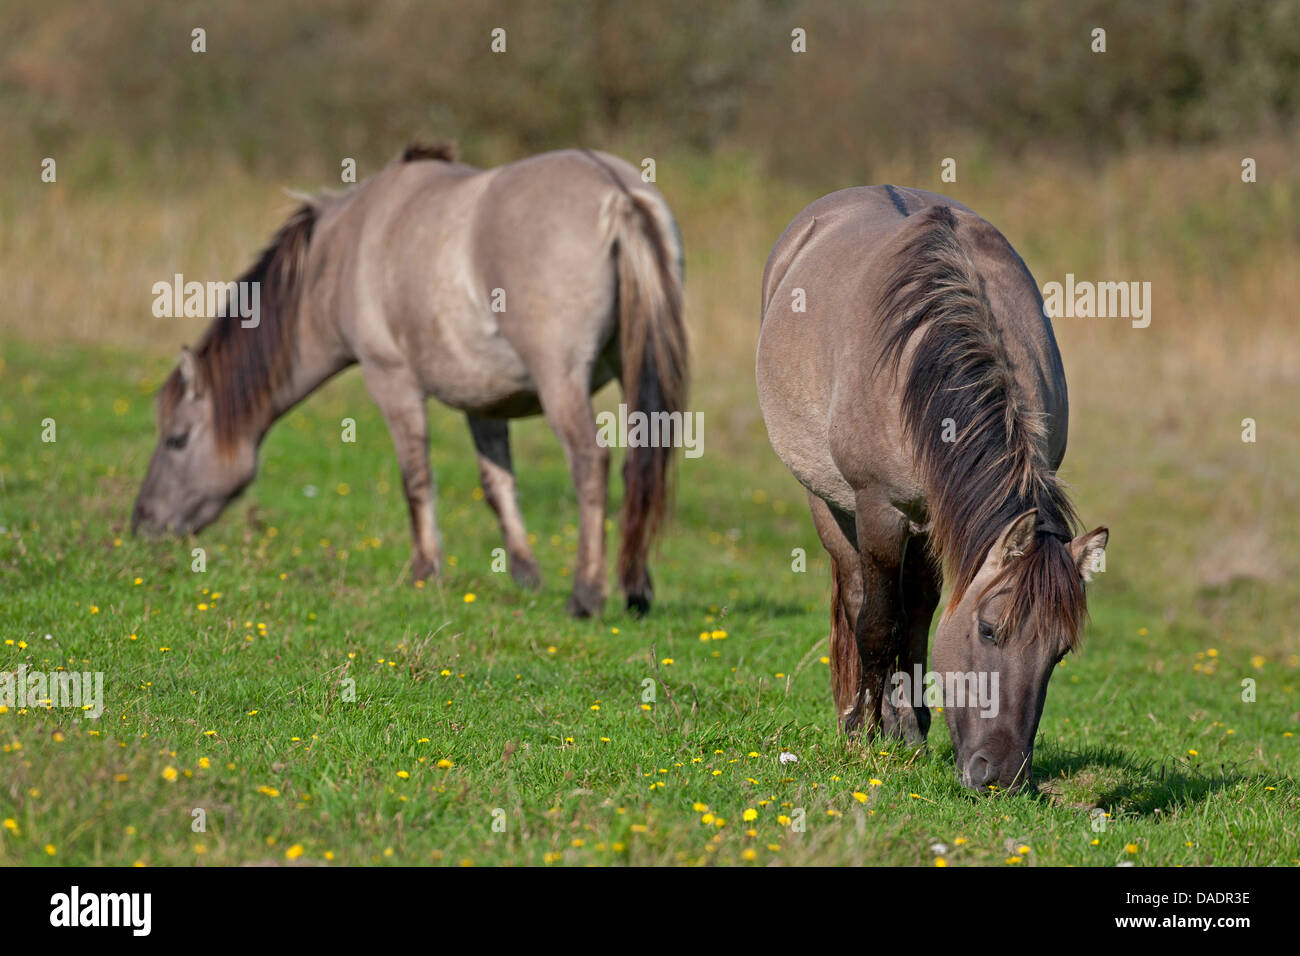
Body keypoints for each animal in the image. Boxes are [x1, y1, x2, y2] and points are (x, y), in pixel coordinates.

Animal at [131, 143, 691, 621]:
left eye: (176, 439)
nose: (143, 524)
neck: (340, 253)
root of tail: (617, 191)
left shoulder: (391, 380)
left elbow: (415, 477)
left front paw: (425, 570)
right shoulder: (485, 400)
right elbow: (498, 483)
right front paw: (525, 574)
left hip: (562, 384)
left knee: (590, 463)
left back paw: (587, 595)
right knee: (640, 466)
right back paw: (635, 590)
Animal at [759, 187, 1107, 790]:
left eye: (1059, 653)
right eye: (990, 631)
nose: (1001, 777)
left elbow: (918, 618)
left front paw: (911, 728)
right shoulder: (879, 507)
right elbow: (878, 624)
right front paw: (865, 736)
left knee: (916, 604)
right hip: (831, 502)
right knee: (858, 595)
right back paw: (859, 718)